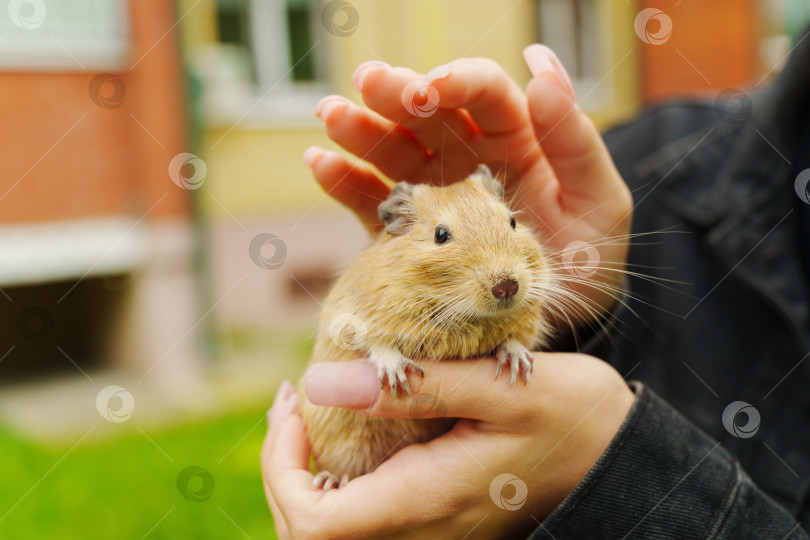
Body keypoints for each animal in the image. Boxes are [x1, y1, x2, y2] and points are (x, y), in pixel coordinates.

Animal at [300, 165, 552, 490]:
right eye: (440, 235)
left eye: (513, 221)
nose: (507, 286)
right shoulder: (347, 316)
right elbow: (375, 342)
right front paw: (399, 378)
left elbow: (515, 339)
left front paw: (517, 364)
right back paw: (329, 481)